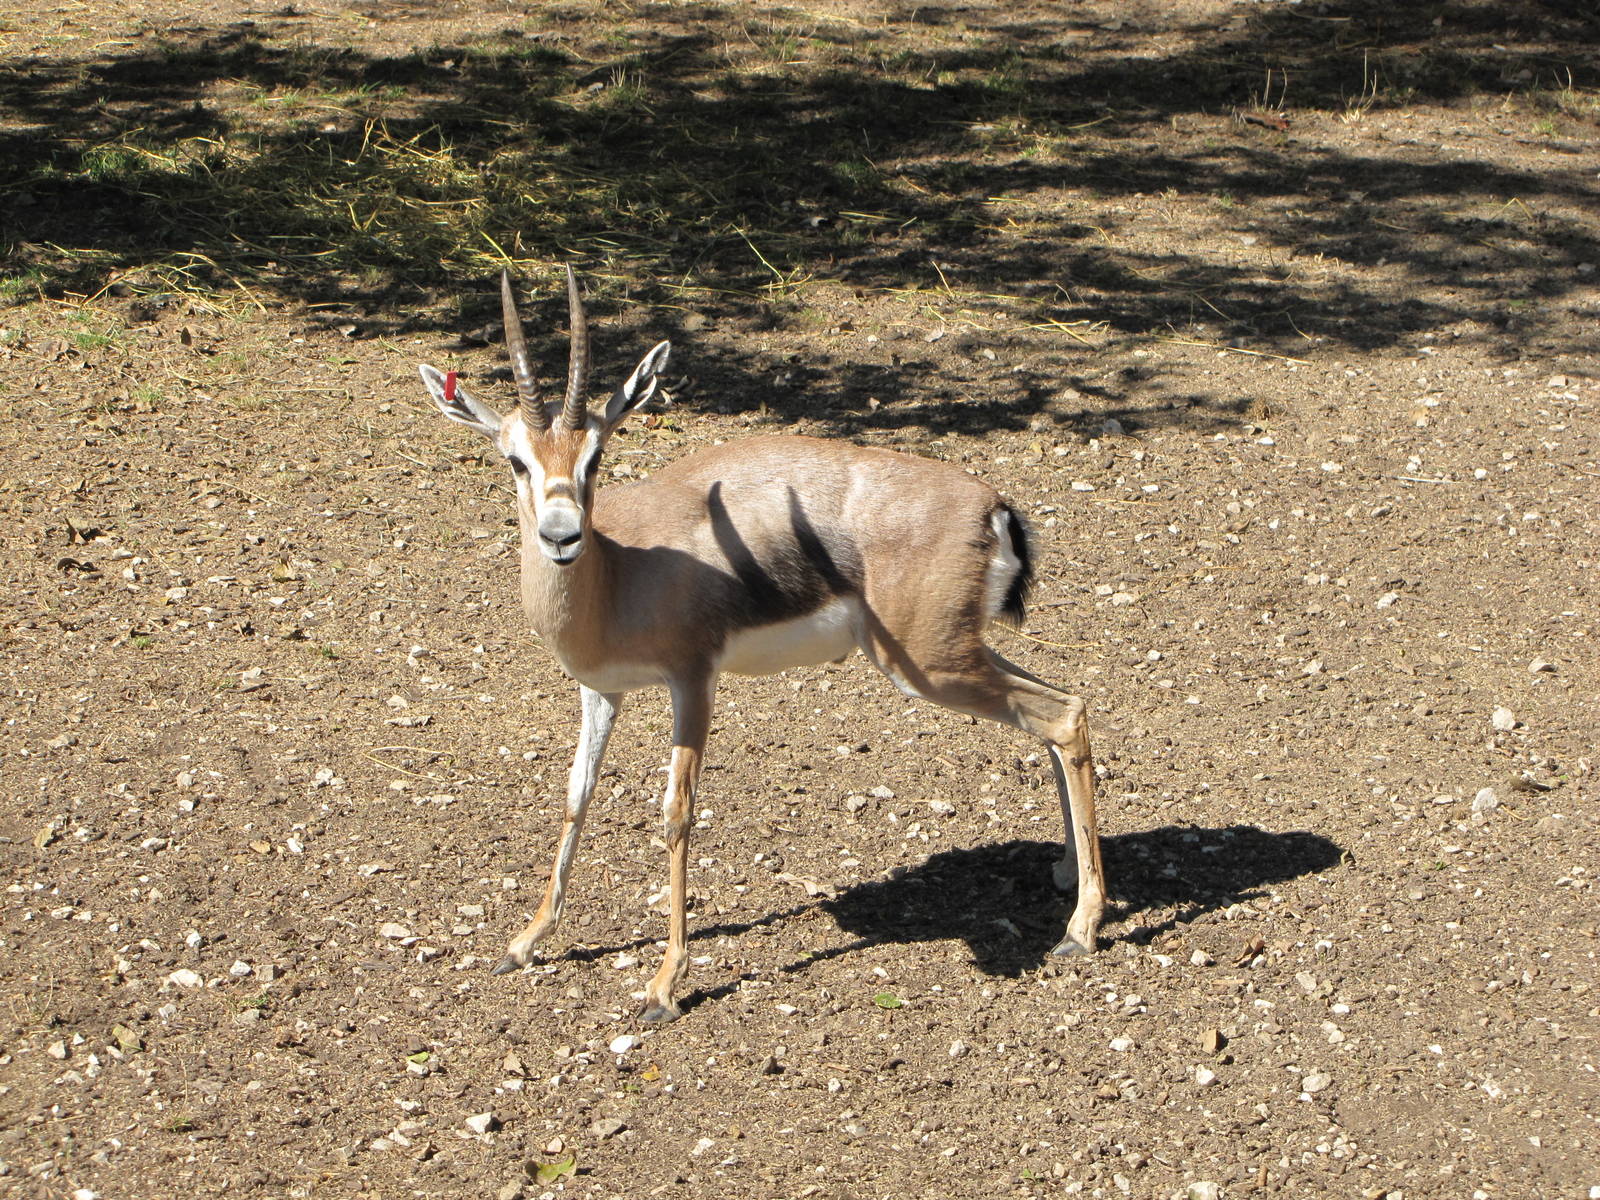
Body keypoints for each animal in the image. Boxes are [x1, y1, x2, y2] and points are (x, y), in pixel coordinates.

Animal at [417, 268, 1106, 1023]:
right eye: (516, 460)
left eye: (596, 456)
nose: (561, 535)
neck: (621, 572)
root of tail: (993, 505)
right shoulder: (601, 689)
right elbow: (577, 796)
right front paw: (525, 942)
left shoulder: (692, 681)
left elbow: (677, 814)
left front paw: (664, 985)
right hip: (951, 652)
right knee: (1060, 707)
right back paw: (1066, 875)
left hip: (928, 664)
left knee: (1063, 713)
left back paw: (1081, 929)